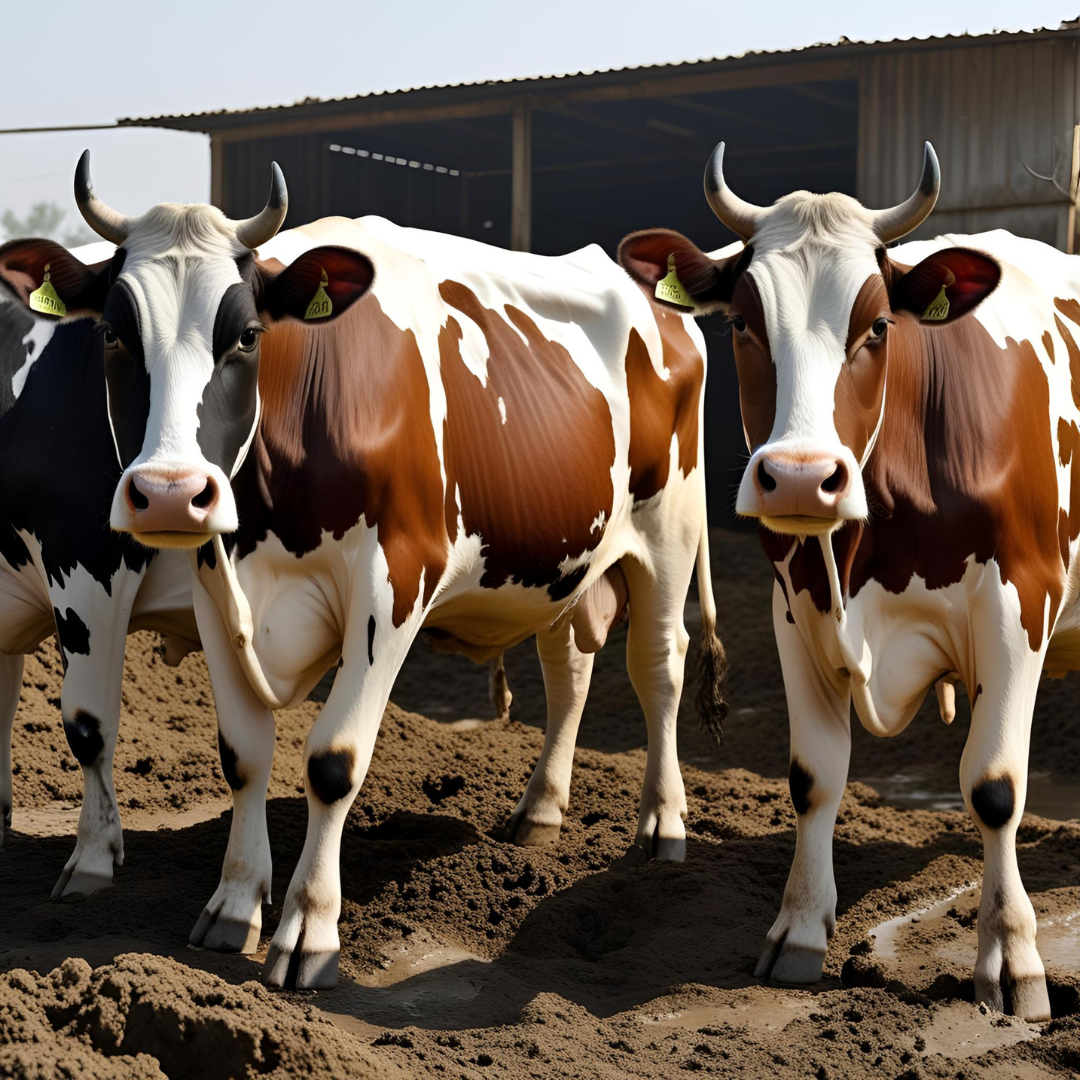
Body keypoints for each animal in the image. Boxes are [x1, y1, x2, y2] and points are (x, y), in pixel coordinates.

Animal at [616, 140, 1080, 1020]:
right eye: (741, 322)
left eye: (877, 326)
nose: (801, 478)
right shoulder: (795, 607)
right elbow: (814, 778)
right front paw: (799, 930)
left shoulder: (1021, 602)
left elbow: (995, 787)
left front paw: (1013, 960)